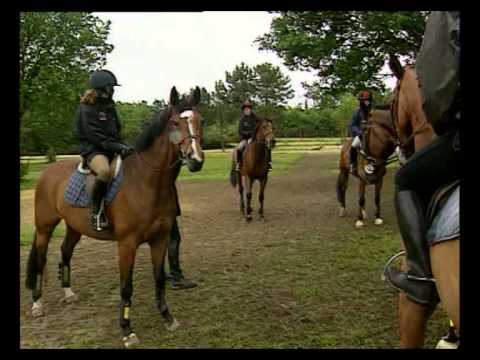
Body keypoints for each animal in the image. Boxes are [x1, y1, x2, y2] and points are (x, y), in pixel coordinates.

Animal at [24, 86, 204, 348]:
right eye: (174, 123)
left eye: (201, 121)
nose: (195, 160)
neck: (147, 181)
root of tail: (48, 172)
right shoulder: (127, 244)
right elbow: (126, 287)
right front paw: (127, 330)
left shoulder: (159, 240)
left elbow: (159, 279)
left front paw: (167, 318)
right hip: (45, 228)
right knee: (40, 260)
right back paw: (37, 305)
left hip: (74, 228)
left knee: (65, 253)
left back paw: (68, 293)